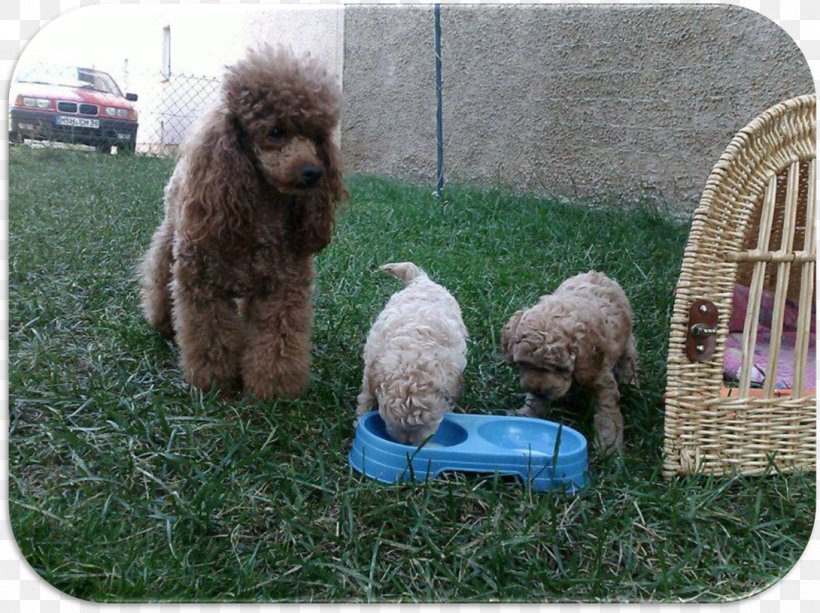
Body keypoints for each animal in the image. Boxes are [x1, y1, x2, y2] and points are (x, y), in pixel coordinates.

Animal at [139, 44, 344, 396]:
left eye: (317, 136)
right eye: (275, 131)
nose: (314, 173)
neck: (260, 214)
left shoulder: (283, 289)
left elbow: (278, 341)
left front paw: (272, 391)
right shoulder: (201, 284)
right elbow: (210, 337)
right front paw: (214, 383)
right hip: (170, 237)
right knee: (158, 274)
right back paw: (162, 322)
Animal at [354, 262, 468, 444]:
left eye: (430, 422)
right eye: (390, 420)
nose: (408, 443)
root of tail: (422, 280)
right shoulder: (371, 371)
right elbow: (366, 398)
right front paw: (360, 419)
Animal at [500, 270, 640, 452]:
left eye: (560, 368)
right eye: (523, 363)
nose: (539, 390)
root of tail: (597, 273)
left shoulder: (600, 376)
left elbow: (607, 412)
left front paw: (609, 447)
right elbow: (535, 401)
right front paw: (527, 414)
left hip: (626, 341)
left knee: (628, 360)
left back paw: (631, 383)